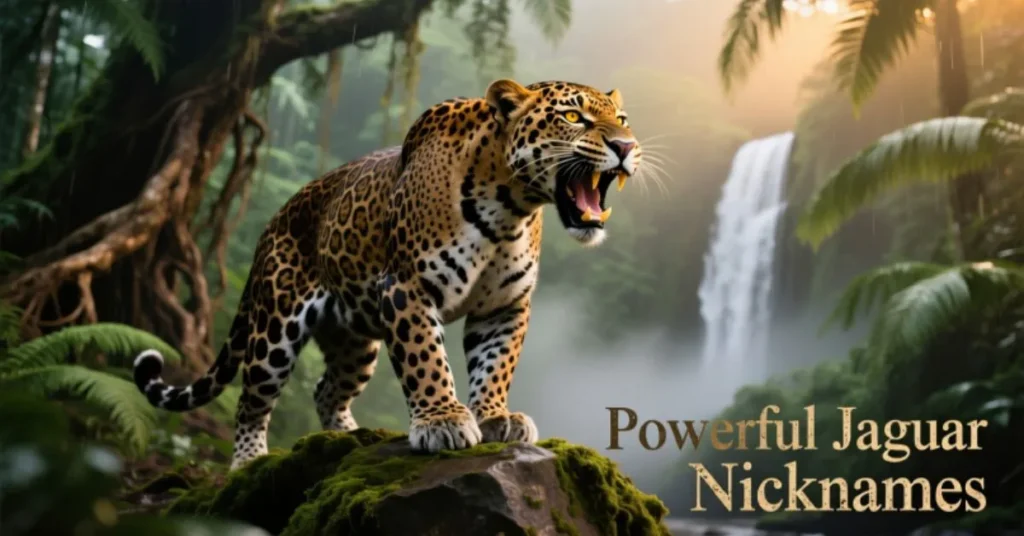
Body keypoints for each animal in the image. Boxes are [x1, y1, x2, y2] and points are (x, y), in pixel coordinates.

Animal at [133, 79, 643, 469]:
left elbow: (496, 365)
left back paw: (348, 438)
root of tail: (273, 222)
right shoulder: (406, 287)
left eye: (623, 119)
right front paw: (443, 421)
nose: (625, 146)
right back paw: (248, 460)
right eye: (573, 117)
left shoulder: (504, 305)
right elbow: (427, 359)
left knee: (326, 390)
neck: (510, 209)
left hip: (355, 342)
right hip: (275, 328)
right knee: (252, 399)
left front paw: (496, 416)